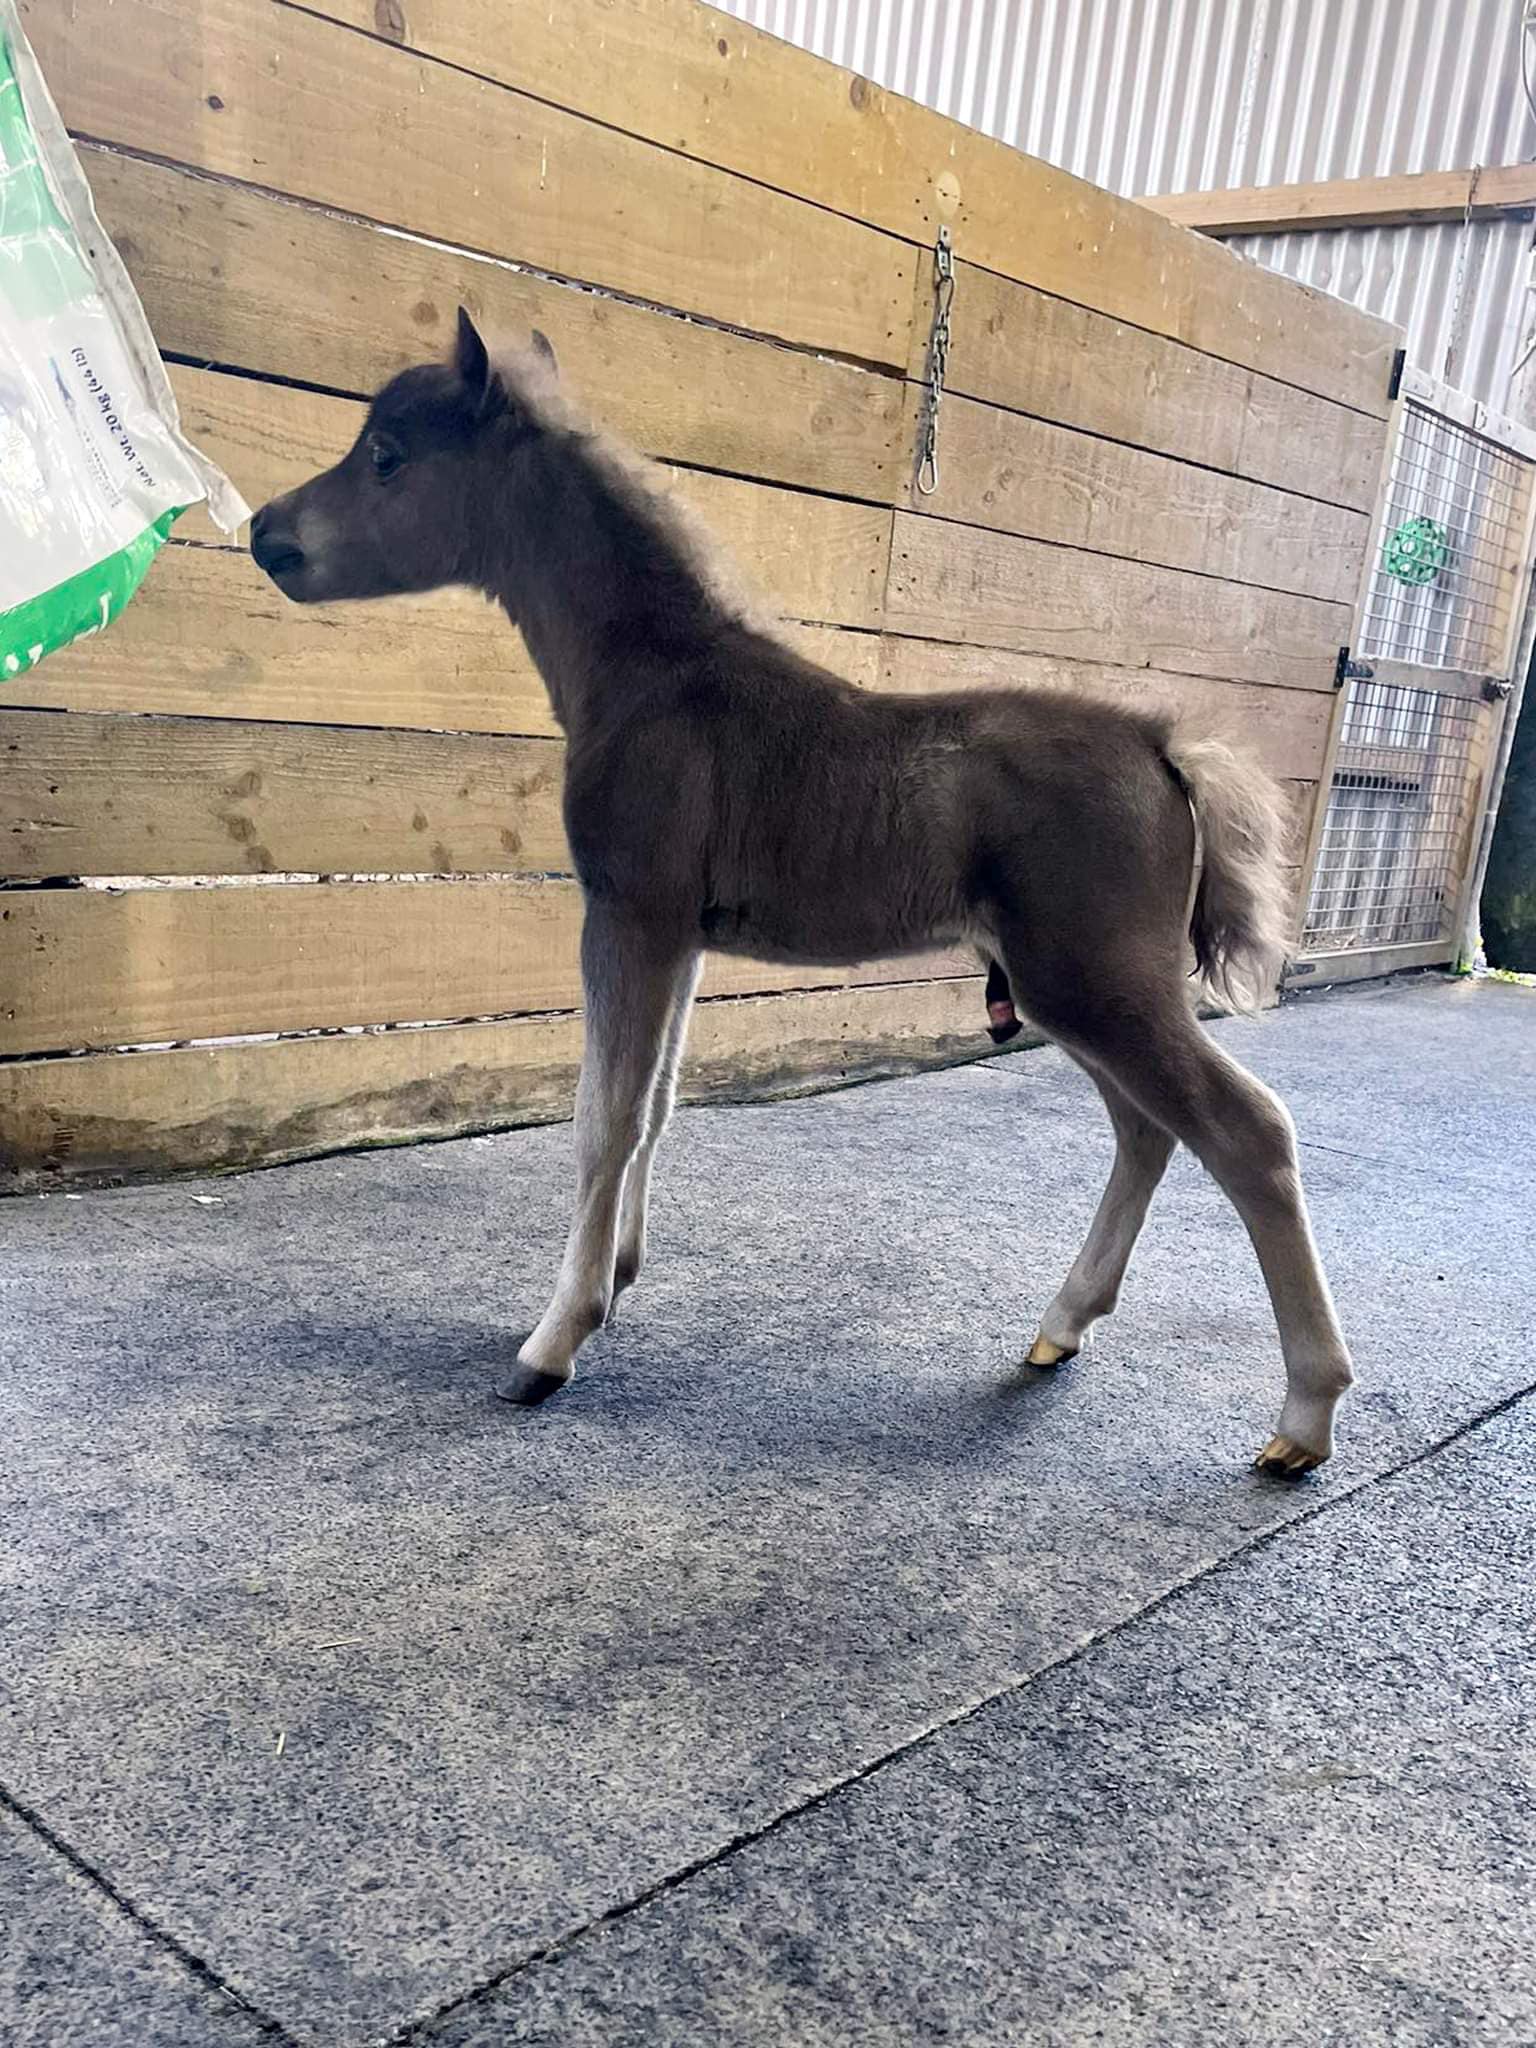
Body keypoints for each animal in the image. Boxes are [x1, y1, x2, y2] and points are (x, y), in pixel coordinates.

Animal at [250, 309, 1353, 1476]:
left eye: (385, 456)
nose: (267, 534)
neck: (656, 679)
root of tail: (1163, 744)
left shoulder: (628, 914)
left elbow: (603, 1118)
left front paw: (551, 1345)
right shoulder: (681, 937)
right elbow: (654, 1107)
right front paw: (615, 1281)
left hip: (1096, 983)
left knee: (1246, 1132)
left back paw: (1303, 1417)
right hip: (1081, 990)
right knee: (1147, 1132)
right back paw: (1061, 1326)